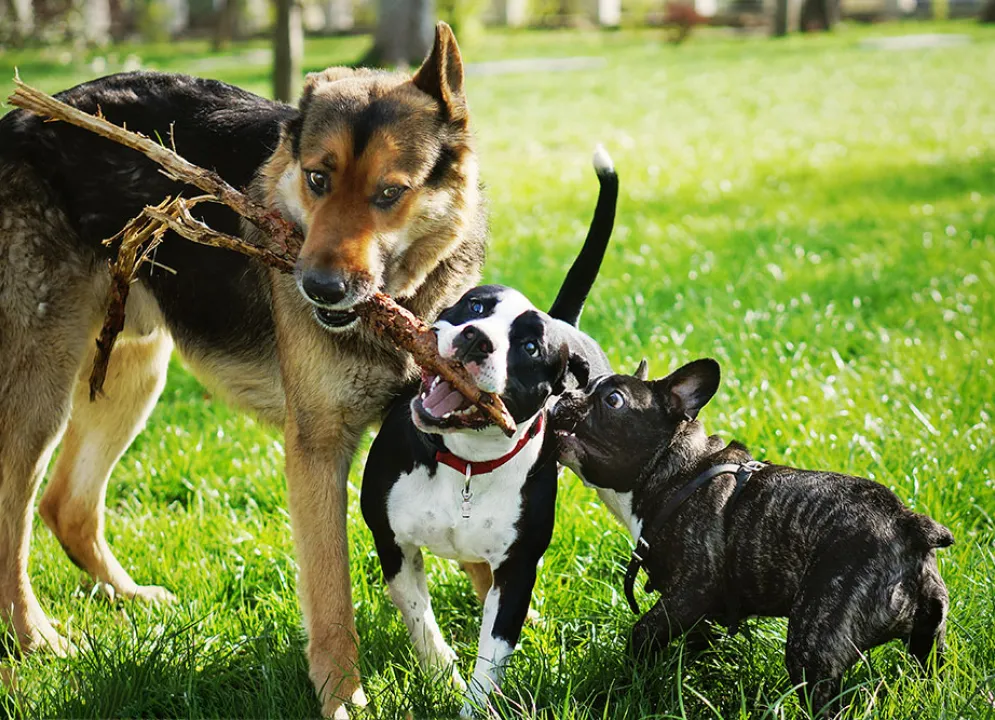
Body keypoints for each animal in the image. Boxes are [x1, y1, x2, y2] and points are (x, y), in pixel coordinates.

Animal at [0, 23, 482, 720]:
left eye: (389, 194)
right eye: (316, 179)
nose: (319, 289)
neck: (403, 307)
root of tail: (19, 118)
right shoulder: (316, 453)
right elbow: (331, 594)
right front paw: (341, 696)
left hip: (132, 370)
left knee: (67, 505)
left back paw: (128, 600)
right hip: (45, 386)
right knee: (13, 518)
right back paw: (36, 639)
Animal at [362, 150, 620, 716]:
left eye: (528, 347)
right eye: (476, 307)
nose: (478, 339)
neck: (465, 463)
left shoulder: (518, 569)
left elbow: (493, 650)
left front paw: (472, 700)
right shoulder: (394, 545)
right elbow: (422, 622)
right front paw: (443, 681)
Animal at [548, 360, 952, 716]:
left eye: (613, 400)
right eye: (585, 385)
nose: (564, 394)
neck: (677, 471)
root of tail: (906, 524)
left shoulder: (691, 592)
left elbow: (643, 633)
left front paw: (630, 681)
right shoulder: (705, 613)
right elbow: (694, 644)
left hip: (814, 643)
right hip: (929, 638)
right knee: (931, 672)